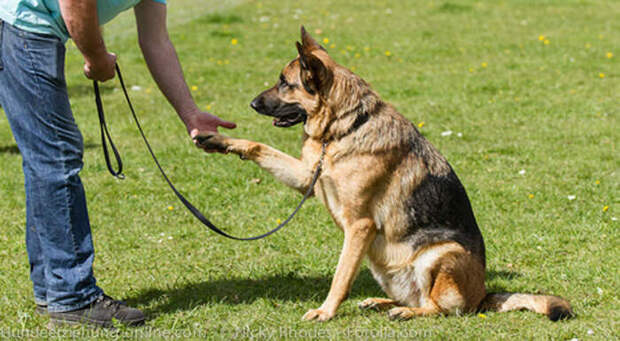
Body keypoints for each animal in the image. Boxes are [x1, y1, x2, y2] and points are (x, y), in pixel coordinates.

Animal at [199, 27, 572, 322]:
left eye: (283, 83)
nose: (251, 104)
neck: (345, 127)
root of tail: (483, 295)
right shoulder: (308, 177)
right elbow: (259, 146)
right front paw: (218, 140)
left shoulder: (359, 226)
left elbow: (340, 276)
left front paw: (325, 311)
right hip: (382, 264)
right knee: (417, 296)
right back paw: (382, 303)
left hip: (438, 254)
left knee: (441, 308)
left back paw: (406, 312)